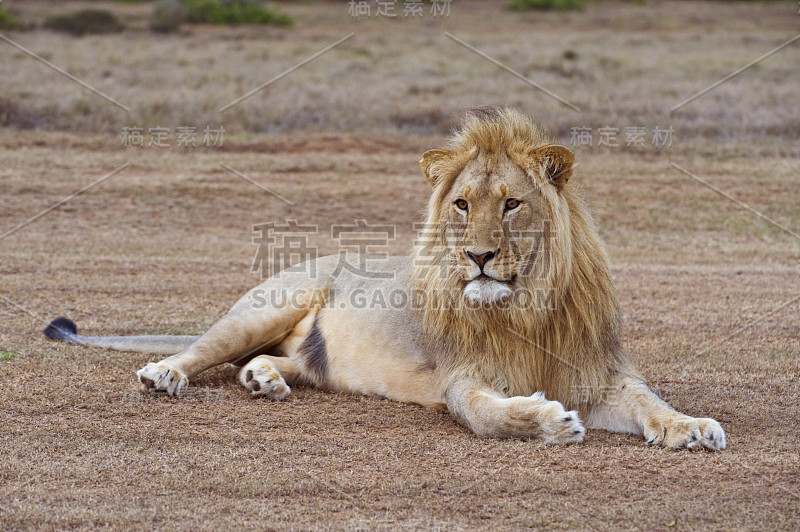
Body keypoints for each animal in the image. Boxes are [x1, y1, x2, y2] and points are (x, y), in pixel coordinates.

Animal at [43, 107, 724, 448]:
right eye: (461, 205)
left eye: (511, 204)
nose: (478, 257)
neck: (525, 306)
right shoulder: (461, 379)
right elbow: (488, 414)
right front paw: (550, 422)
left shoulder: (599, 372)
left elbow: (651, 402)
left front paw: (689, 427)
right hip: (265, 306)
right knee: (201, 349)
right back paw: (164, 373)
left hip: (308, 356)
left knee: (277, 364)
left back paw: (265, 379)